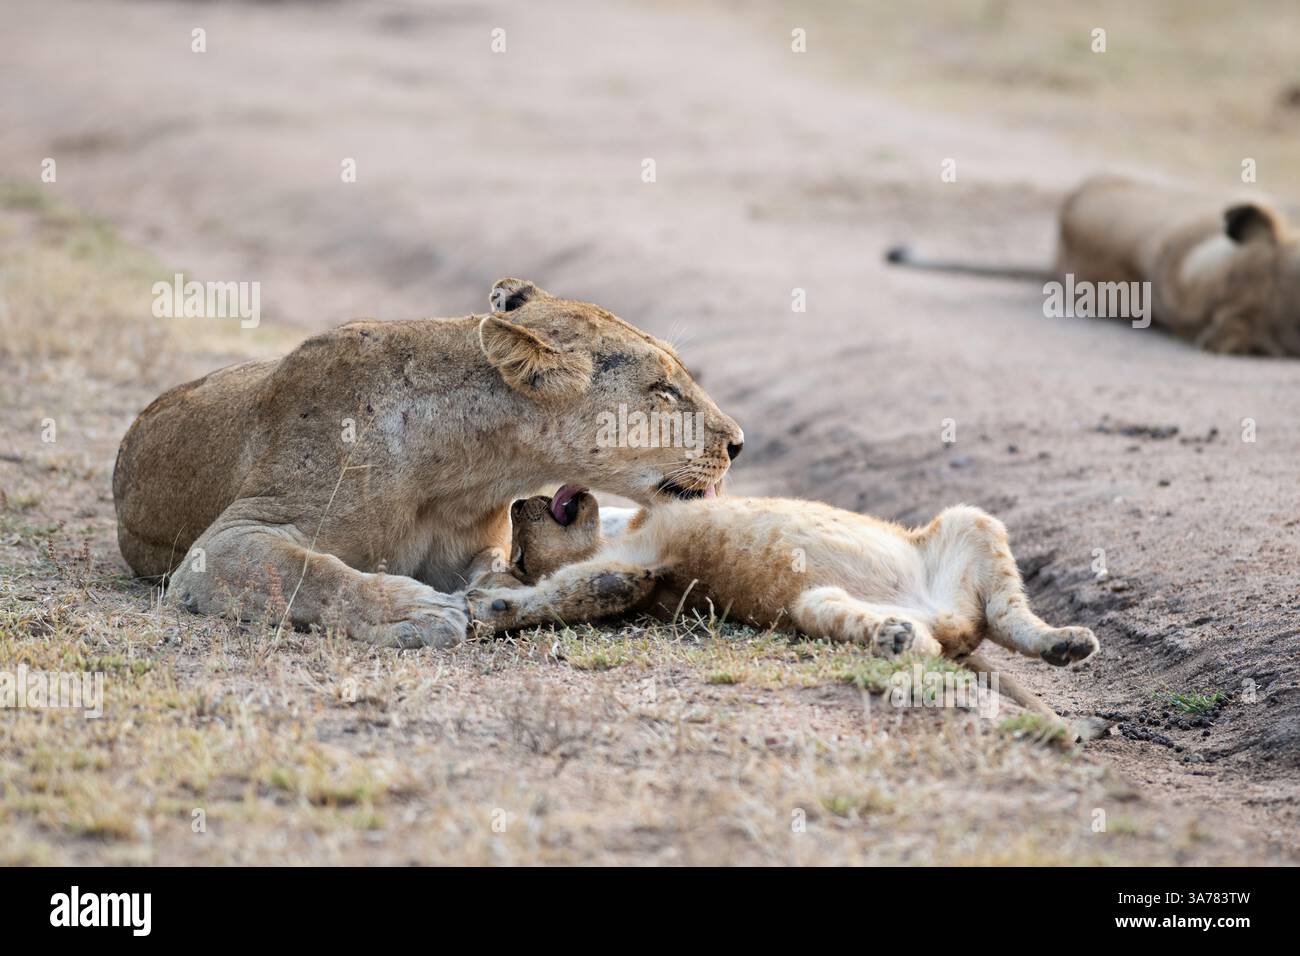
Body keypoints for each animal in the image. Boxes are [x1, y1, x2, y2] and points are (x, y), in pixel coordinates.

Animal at [112, 279, 744, 649]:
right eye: (663, 390)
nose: (739, 443)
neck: (471, 468)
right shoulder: (222, 545)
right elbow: (310, 573)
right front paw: (414, 610)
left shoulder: (480, 541)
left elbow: (498, 571)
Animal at [466, 488, 1101, 733]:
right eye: (519, 556)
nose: (520, 502)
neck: (618, 532)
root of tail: (950, 628)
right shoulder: (639, 565)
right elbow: (575, 590)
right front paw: (496, 607)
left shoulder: (641, 547)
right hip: (814, 603)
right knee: (934, 637)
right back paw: (899, 637)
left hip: (971, 522)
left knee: (1011, 617)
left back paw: (1067, 642)